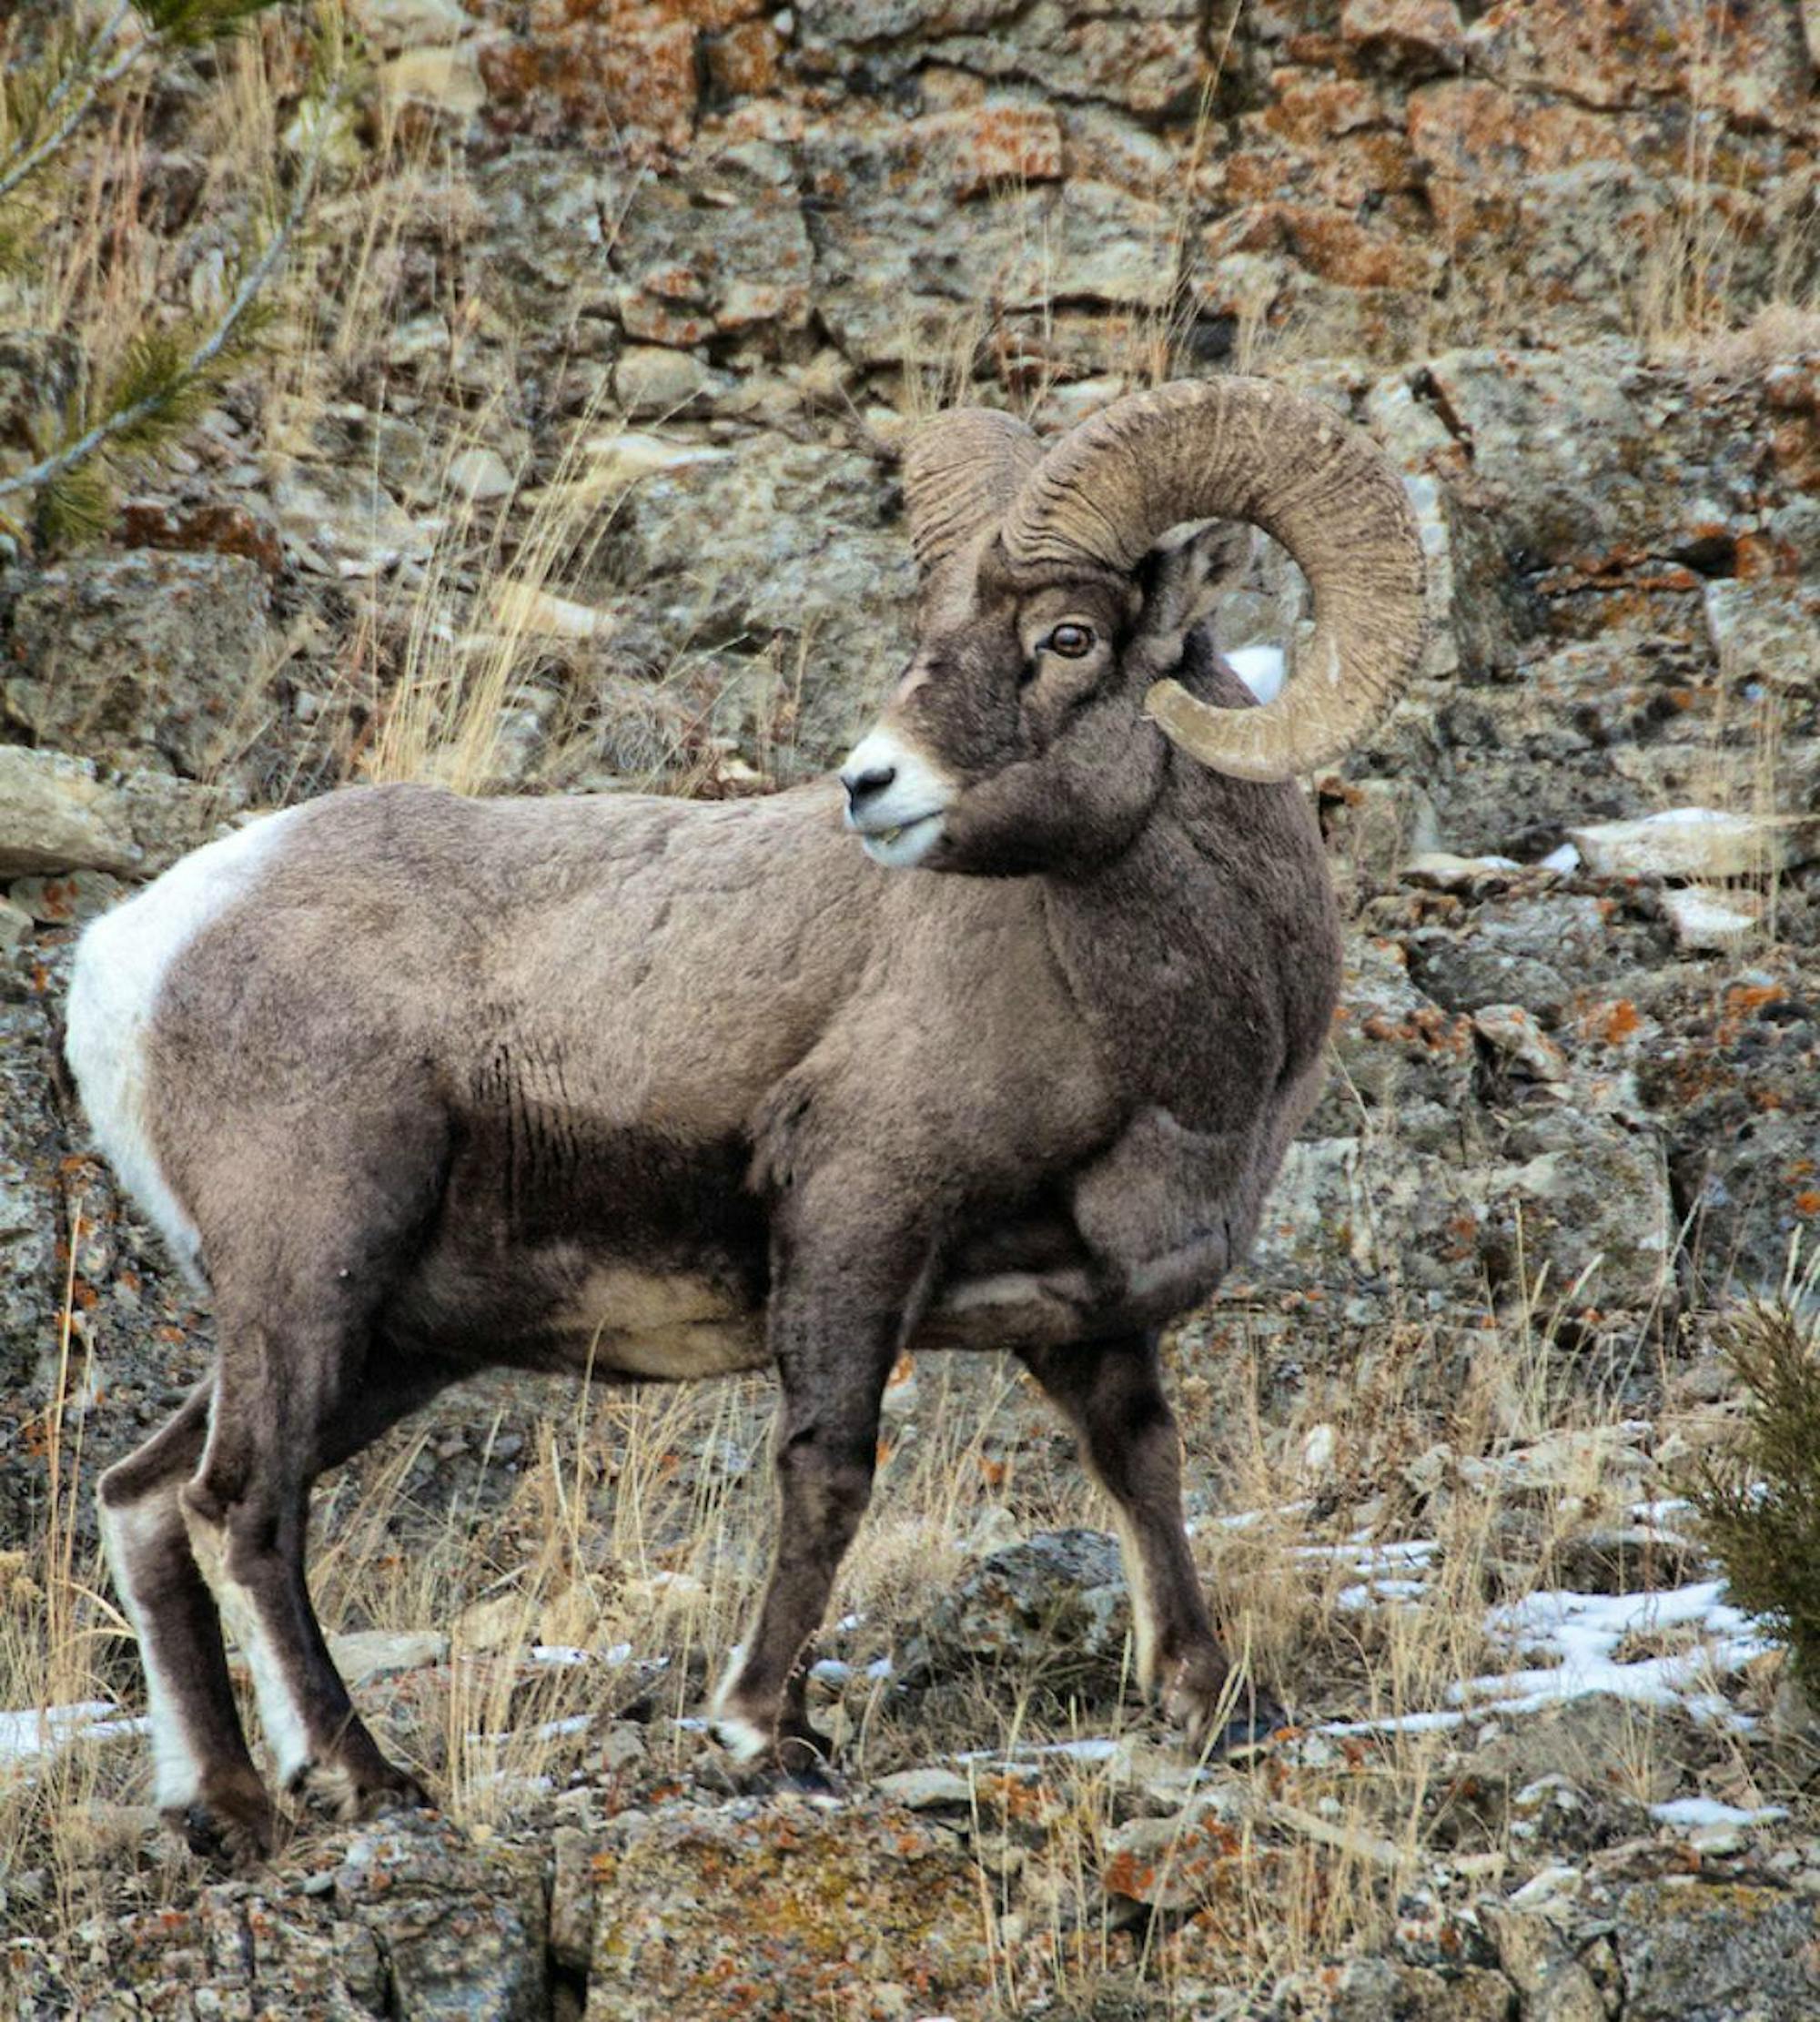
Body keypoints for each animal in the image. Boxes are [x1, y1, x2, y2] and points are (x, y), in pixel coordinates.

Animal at [64, 371, 1423, 1852]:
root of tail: (136, 955)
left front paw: (1214, 1701)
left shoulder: (1092, 1314)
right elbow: (829, 1471)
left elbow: (1145, 1468)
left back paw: (229, 1808)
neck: (1169, 1041)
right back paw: (367, 1776)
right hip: (311, 1277)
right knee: (246, 1507)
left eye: (1068, 637)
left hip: (381, 1337)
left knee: (148, 1500)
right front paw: (765, 1732)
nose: (871, 786)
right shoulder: (857, 1224)